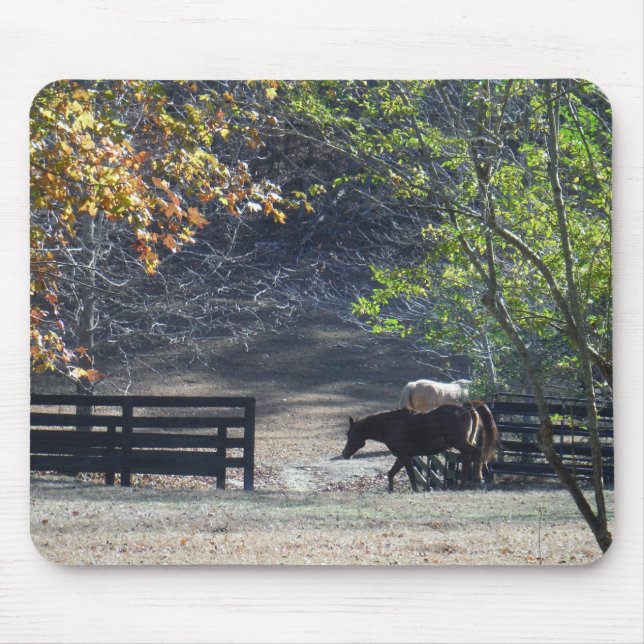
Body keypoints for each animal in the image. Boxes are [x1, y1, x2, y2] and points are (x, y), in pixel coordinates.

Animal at [341, 402, 499, 492]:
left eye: (350, 434)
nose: (345, 454)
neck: (391, 424)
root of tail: (467, 409)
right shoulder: (404, 456)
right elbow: (393, 473)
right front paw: (392, 490)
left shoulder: (404, 455)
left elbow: (409, 474)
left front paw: (413, 490)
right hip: (465, 442)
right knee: (468, 458)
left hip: (460, 443)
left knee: (476, 454)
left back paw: (476, 480)